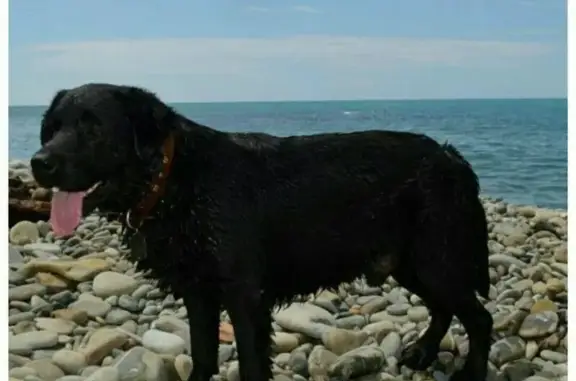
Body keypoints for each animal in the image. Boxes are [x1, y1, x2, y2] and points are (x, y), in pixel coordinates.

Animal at [30, 83, 490, 380]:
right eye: (52, 127)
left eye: (94, 127)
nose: (39, 163)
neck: (174, 180)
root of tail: (453, 157)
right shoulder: (198, 293)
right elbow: (203, 356)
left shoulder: (245, 297)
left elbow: (251, 366)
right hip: (411, 265)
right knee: (445, 309)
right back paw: (423, 352)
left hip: (435, 261)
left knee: (479, 318)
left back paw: (469, 373)